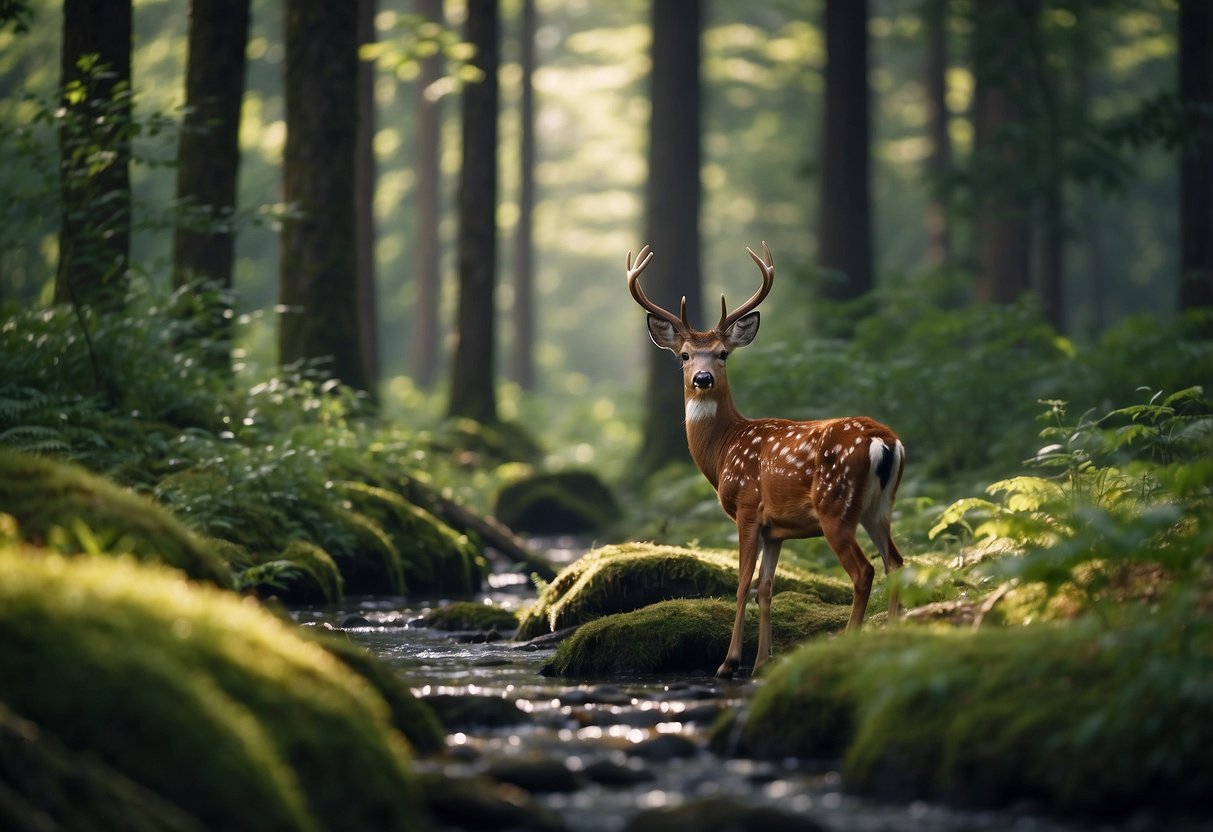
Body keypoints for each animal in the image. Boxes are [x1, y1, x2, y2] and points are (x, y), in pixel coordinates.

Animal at [630, 240, 907, 679]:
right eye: (685, 355)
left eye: (723, 353)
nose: (703, 379)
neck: (724, 451)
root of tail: (884, 441)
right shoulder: (776, 529)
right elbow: (765, 586)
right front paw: (762, 661)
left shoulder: (747, 508)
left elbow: (742, 583)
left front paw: (729, 662)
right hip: (879, 507)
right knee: (896, 562)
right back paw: (891, 641)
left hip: (836, 505)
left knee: (865, 571)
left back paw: (849, 644)